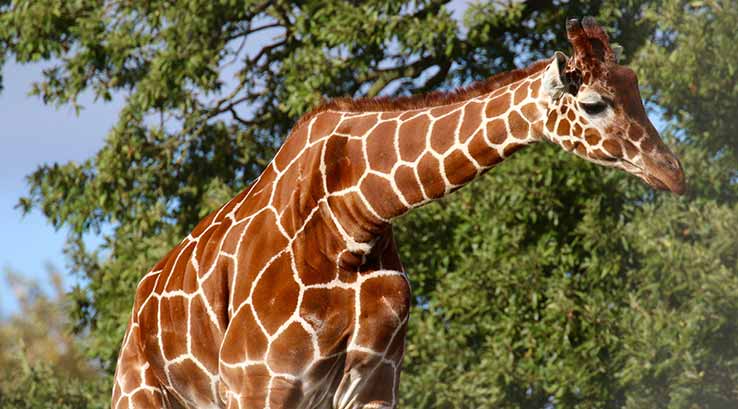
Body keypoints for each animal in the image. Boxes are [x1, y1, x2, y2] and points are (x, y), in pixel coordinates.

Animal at [112, 17, 685, 409]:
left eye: (636, 87)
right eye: (593, 103)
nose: (673, 171)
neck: (351, 222)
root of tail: (139, 304)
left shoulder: (373, 383)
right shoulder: (260, 382)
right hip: (138, 392)